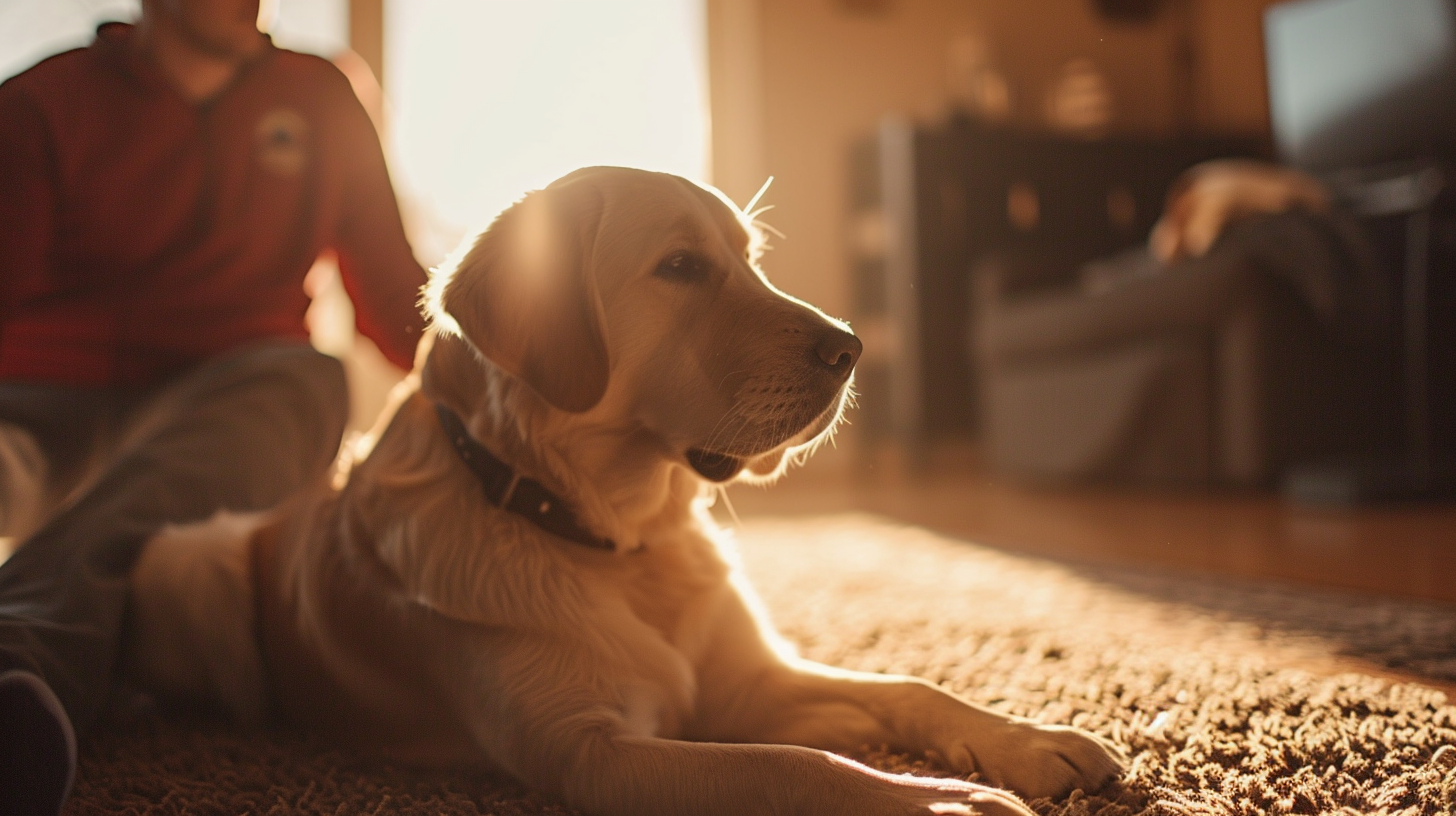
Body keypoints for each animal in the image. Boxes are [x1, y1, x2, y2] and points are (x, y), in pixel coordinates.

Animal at [125, 166, 1124, 816]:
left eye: (751, 258)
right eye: (680, 268)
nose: (852, 347)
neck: (619, 535)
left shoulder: (748, 677)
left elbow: (911, 688)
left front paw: (1030, 741)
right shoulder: (593, 755)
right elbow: (795, 766)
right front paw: (947, 801)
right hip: (186, 557)